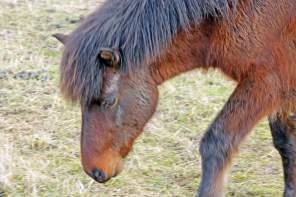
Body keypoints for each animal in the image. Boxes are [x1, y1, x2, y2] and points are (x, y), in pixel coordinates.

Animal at [54, 0, 296, 196]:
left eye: (109, 101)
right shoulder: (283, 90)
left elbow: (217, 142)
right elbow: (286, 144)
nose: (94, 171)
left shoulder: (267, 82)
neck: (229, 11)